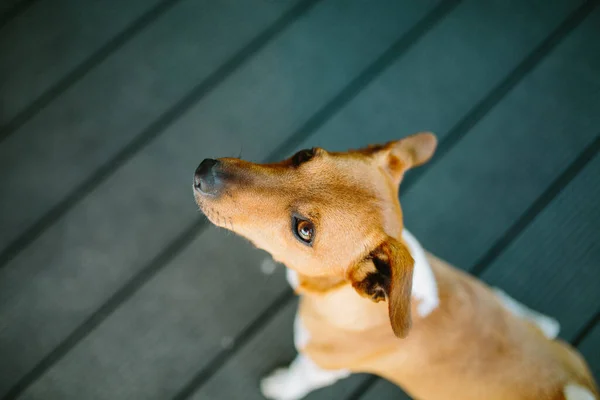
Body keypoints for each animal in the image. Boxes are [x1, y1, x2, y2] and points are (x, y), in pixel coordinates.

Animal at [195, 134, 596, 400]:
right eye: (304, 154)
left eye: (305, 231)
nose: (204, 171)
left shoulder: (319, 366)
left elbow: (295, 379)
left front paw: (277, 387)